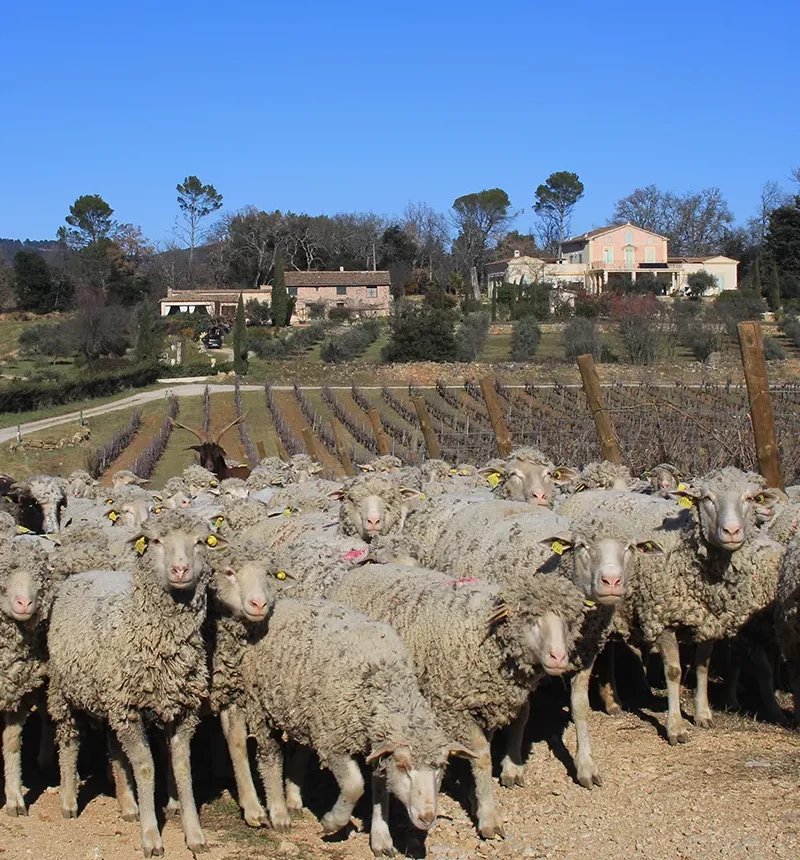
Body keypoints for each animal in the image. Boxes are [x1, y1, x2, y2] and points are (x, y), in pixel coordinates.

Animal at [47, 510, 226, 857]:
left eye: (200, 542)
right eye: (155, 540)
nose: (180, 570)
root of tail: (84, 572)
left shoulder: (182, 710)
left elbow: (181, 766)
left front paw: (194, 834)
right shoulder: (129, 709)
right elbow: (145, 767)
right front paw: (151, 836)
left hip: (110, 699)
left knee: (115, 749)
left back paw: (128, 805)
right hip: (64, 691)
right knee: (69, 742)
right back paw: (68, 800)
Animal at [239, 594, 474, 855]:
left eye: (441, 767)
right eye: (403, 766)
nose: (427, 817)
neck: (382, 682)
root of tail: (287, 602)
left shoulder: (377, 746)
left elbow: (381, 791)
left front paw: (381, 839)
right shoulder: (333, 741)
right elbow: (354, 786)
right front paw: (332, 822)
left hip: (301, 710)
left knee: (298, 750)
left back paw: (293, 800)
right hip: (260, 705)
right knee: (269, 757)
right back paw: (279, 812)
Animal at [326, 564, 585, 839]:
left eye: (569, 623)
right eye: (531, 620)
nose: (559, 657)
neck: (484, 637)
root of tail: (361, 570)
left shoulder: (484, 706)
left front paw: (474, 795)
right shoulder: (454, 710)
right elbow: (482, 756)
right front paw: (488, 815)